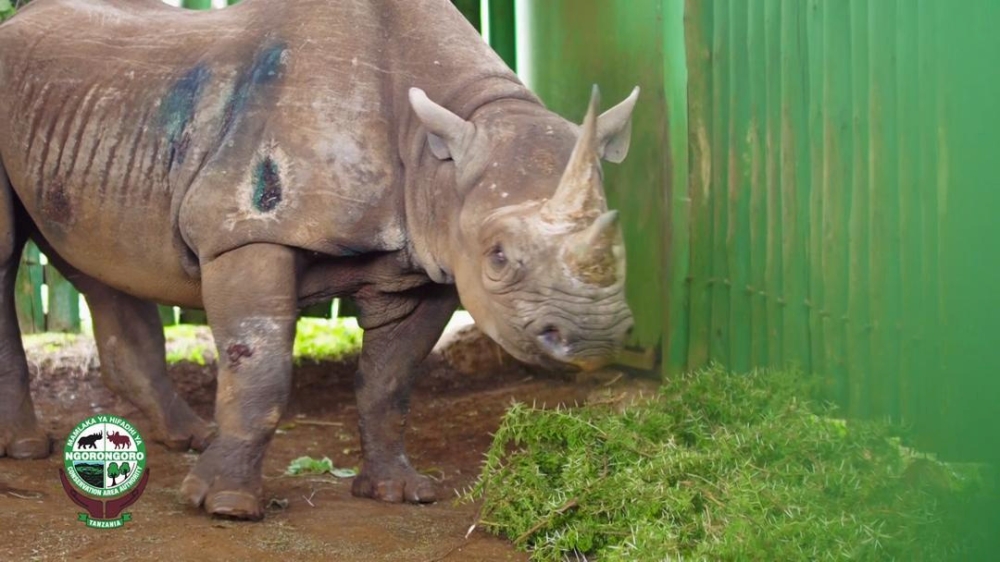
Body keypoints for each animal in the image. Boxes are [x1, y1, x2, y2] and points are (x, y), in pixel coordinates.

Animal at [0, 0, 638, 519]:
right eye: (499, 258)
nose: (596, 337)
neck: (438, 154)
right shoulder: (244, 231)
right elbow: (260, 368)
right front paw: (225, 506)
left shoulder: (425, 267)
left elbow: (390, 382)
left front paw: (398, 492)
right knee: (9, 255)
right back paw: (28, 449)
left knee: (99, 262)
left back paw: (189, 437)